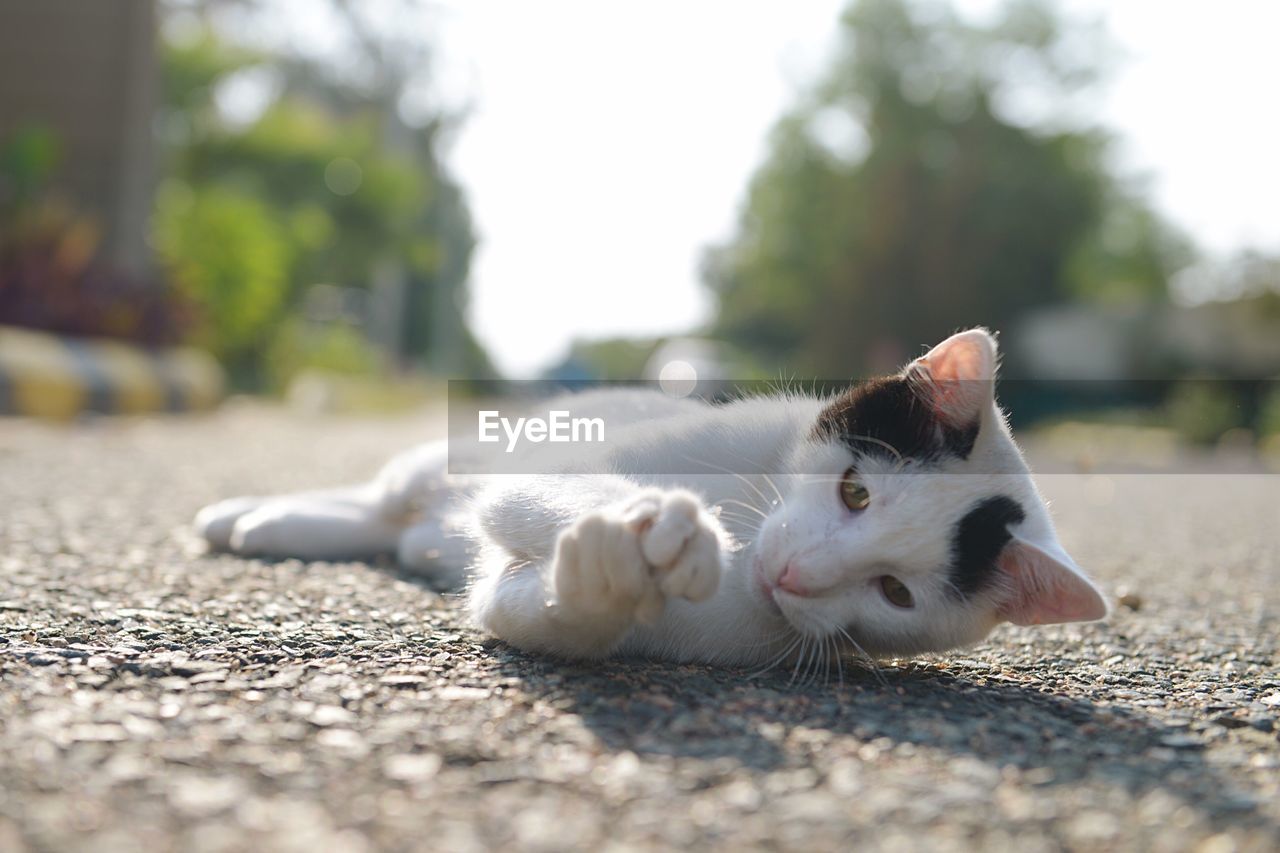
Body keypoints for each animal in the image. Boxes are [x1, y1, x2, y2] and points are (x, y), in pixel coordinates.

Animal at [194, 327, 1105, 666]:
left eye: (894, 591)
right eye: (854, 490)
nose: (795, 575)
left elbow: (524, 604)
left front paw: (598, 578)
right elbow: (539, 489)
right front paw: (645, 527)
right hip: (458, 451)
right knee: (386, 495)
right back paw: (255, 516)